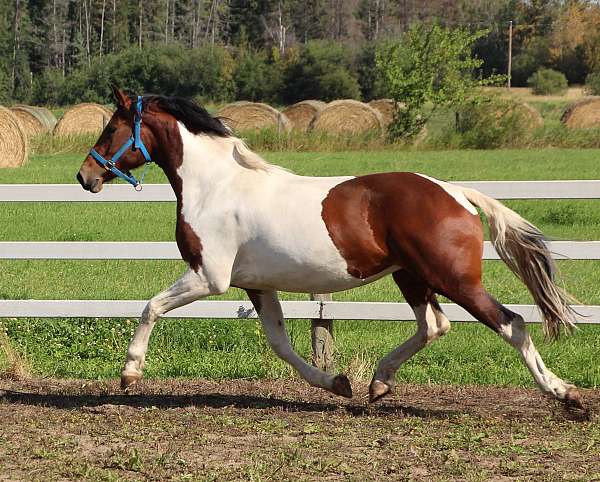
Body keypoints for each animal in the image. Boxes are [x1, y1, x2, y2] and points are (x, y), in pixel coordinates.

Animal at [77, 87, 584, 410]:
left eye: (111, 128)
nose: (86, 176)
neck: (215, 186)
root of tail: (454, 192)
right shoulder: (256, 285)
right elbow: (281, 344)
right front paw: (337, 383)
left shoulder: (209, 277)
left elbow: (150, 307)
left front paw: (129, 374)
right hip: (412, 276)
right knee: (434, 325)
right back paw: (377, 384)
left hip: (453, 278)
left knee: (511, 323)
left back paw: (566, 395)